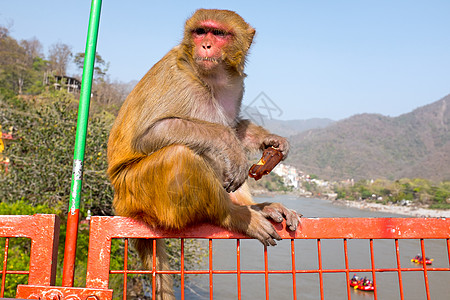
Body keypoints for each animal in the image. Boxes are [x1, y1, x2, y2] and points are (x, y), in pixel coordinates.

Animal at [107, 8, 300, 298]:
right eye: (200, 32)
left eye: (218, 33)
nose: (206, 45)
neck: (213, 77)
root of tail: (120, 205)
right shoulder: (180, 80)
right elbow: (149, 134)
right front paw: (229, 143)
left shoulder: (235, 85)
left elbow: (235, 126)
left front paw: (270, 140)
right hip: (136, 194)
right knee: (180, 155)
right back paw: (232, 215)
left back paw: (255, 207)